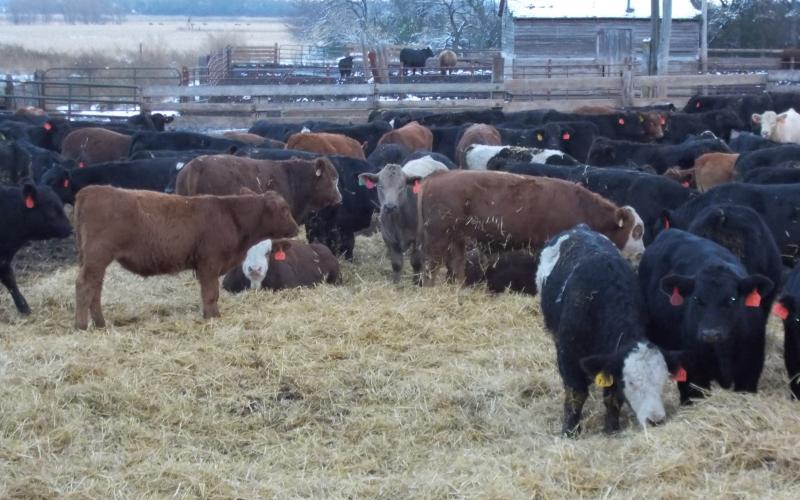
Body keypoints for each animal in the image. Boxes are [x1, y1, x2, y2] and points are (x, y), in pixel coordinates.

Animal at [73, 186, 298, 328]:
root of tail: (90, 190)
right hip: (97, 257)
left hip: (94, 260)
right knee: (85, 285)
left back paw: (100, 323)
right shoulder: (209, 263)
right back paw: (81, 325)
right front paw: (212, 316)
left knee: (95, 288)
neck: (231, 215)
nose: (296, 228)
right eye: (284, 209)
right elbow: (211, 293)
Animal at [417, 170, 645, 285]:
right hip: (438, 237)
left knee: (456, 264)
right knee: (430, 265)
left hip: (457, 238)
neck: (581, 207)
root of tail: (434, 177)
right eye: (637, 230)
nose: (642, 253)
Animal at [538, 225, 687, 435]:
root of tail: (579, 228)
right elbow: (576, 394)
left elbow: (612, 397)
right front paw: (570, 430)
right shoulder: (568, 355)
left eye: (663, 380)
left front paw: (611, 428)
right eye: (631, 382)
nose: (655, 420)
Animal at [639, 229, 773, 403]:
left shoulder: (750, 370)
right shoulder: (694, 373)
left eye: (732, 299)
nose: (710, 334)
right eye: (696, 298)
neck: (722, 352)